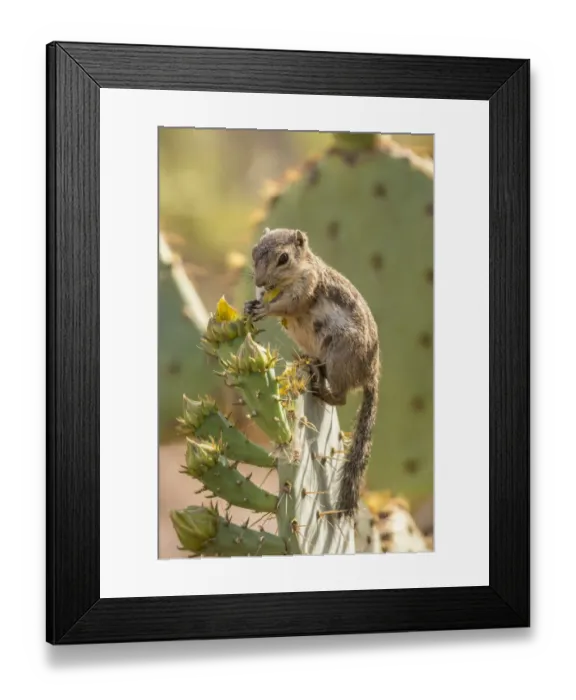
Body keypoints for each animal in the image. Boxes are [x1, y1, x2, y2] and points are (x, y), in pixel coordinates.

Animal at [244, 227, 380, 518]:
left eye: (283, 258)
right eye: (254, 252)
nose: (261, 281)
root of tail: (371, 374)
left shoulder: (308, 285)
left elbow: (289, 305)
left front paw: (266, 308)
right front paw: (251, 305)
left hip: (340, 357)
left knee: (340, 397)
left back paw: (320, 386)